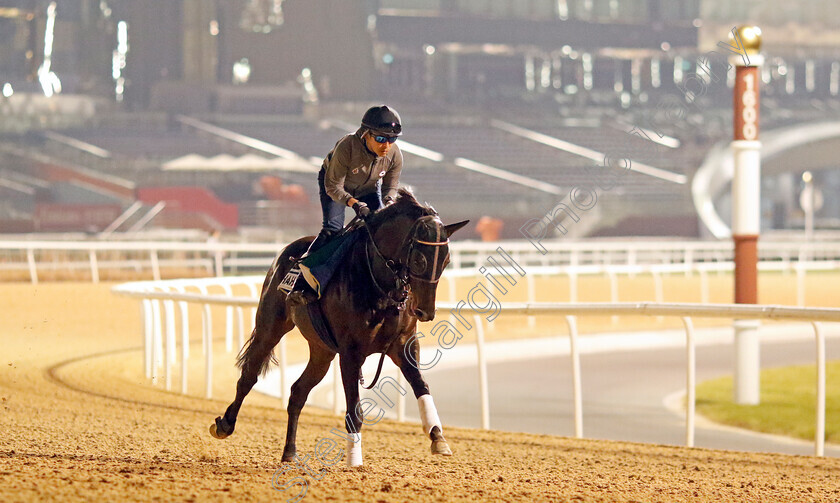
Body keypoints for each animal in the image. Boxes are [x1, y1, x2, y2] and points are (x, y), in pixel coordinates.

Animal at [208, 189, 470, 468]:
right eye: (420, 259)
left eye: (446, 260)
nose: (425, 312)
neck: (381, 286)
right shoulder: (351, 351)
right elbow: (354, 408)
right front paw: (354, 458)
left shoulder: (403, 344)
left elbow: (421, 386)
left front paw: (437, 436)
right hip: (271, 326)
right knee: (249, 375)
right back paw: (225, 424)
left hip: (322, 351)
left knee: (298, 391)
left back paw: (289, 451)